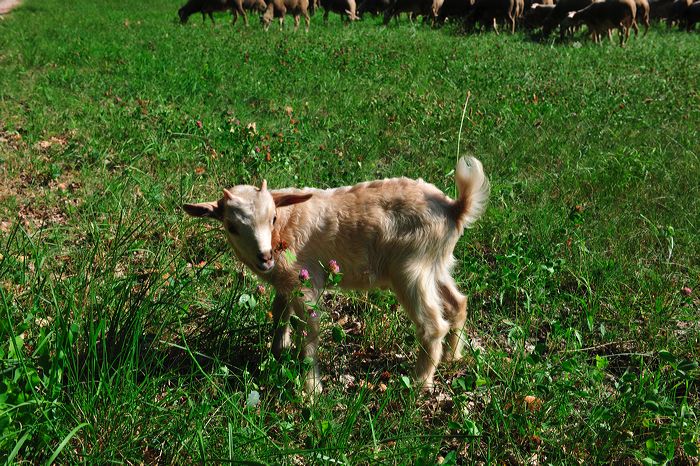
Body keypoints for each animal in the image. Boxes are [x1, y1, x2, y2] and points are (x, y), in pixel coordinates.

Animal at [186, 158, 492, 396]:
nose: (265, 257)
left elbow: (308, 330)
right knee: (457, 304)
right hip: (436, 265)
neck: (283, 228)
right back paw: (453, 357)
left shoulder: (304, 280)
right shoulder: (285, 284)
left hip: (411, 270)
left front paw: (310, 391)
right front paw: (278, 352)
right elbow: (280, 313)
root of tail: (455, 208)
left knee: (432, 324)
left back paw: (419, 384)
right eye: (231, 226)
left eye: (272, 218)